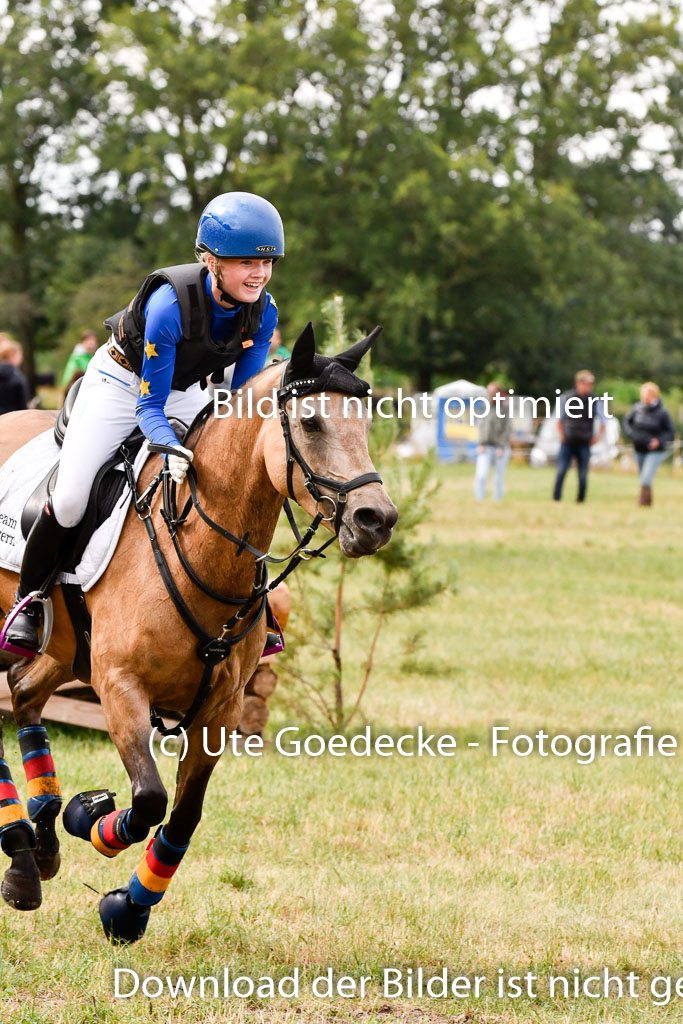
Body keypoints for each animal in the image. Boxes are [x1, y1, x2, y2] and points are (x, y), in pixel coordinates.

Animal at [0, 323, 397, 937]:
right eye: (310, 423)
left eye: (368, 422)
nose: (376, 520)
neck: (201, 547)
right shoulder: (119, 687)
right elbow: (147, 799)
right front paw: (91, 820)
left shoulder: (219, 709)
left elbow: (183, 815)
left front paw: (129, 906)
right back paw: (25, 841)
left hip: (64, 649)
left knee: (23, 694)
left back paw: (32, 852)